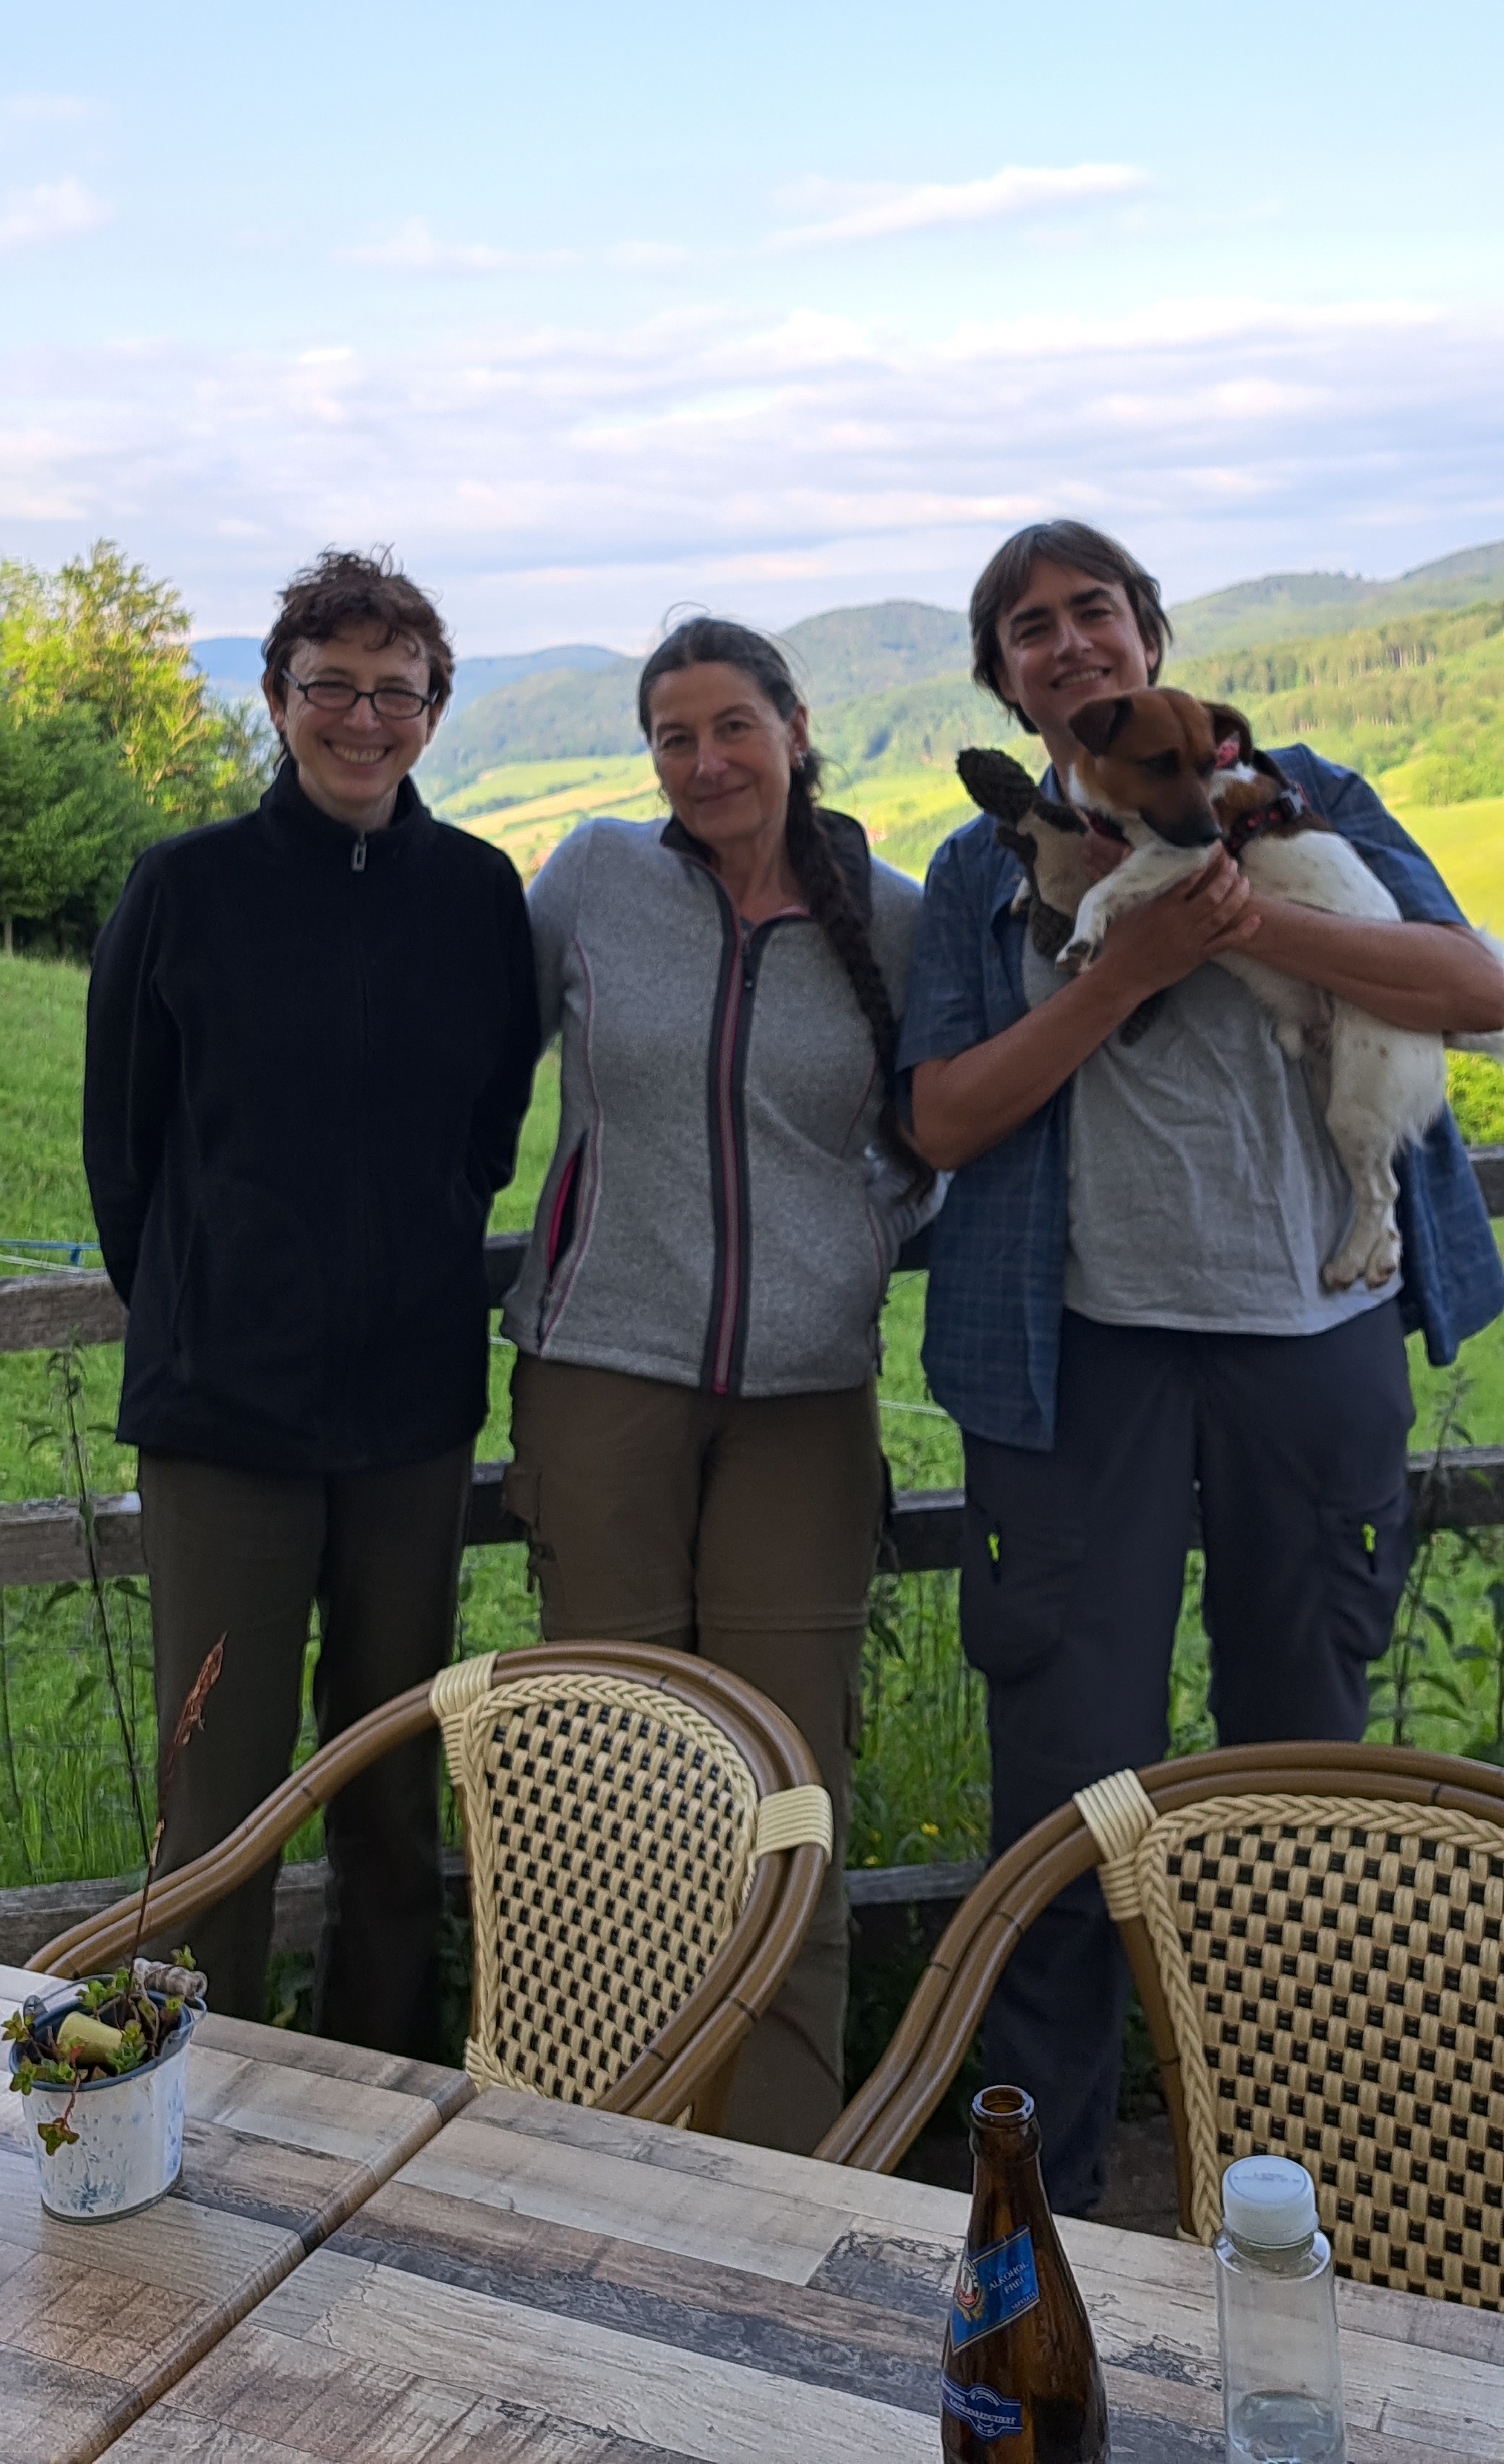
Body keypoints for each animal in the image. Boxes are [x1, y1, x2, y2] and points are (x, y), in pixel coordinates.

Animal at [957, 699, 1489, 1291]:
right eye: (1159, 762)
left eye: (1209, 761)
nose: (1209, 830)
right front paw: (1026, 894)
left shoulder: (1181, 856)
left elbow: (1101, 887)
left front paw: (1083, 933)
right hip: (1338, 1097)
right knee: (1384, 1182)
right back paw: (1377, 1256)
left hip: (1360, 1097)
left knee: (1379, 1191)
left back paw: (1350, 1260)